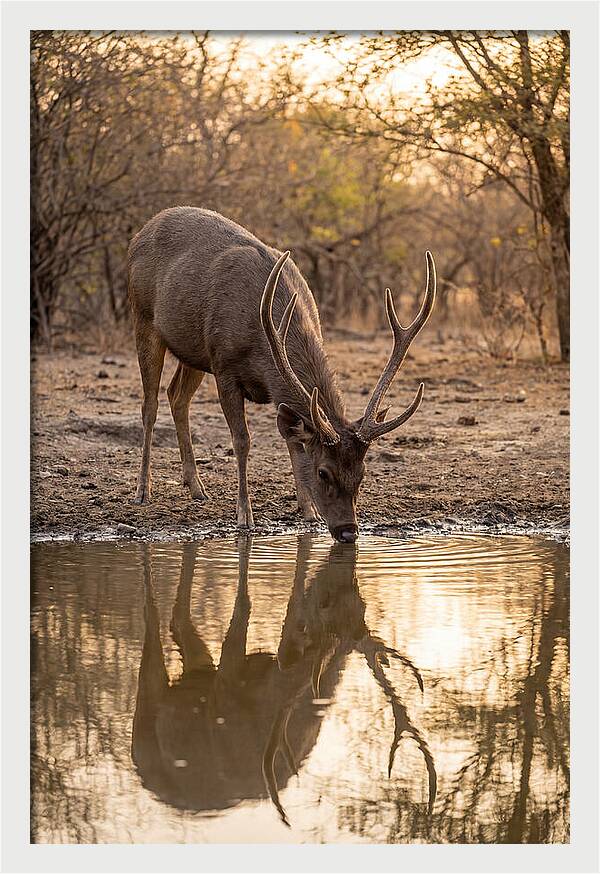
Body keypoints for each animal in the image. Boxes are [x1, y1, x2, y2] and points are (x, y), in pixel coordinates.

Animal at [128, 207, 436, 542]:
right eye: (323, 472)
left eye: (362, 473)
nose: (348, 531)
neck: (262, 341)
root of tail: (139, 233)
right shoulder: (224, 366)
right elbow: (242, 440)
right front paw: (245, 516)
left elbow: (293, 442)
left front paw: (308, 511)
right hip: (143, 318)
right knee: (150, 405)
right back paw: (143, 491)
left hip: (193, 351)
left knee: (177, 396)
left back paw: (196, 487)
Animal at [131, 535, 436, 827]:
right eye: (325, 602)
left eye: (362, 604)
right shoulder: (224, 691)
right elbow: (246, 607)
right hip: (146, 723)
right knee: (152, 634)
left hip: (198, 672)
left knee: (179, 623)